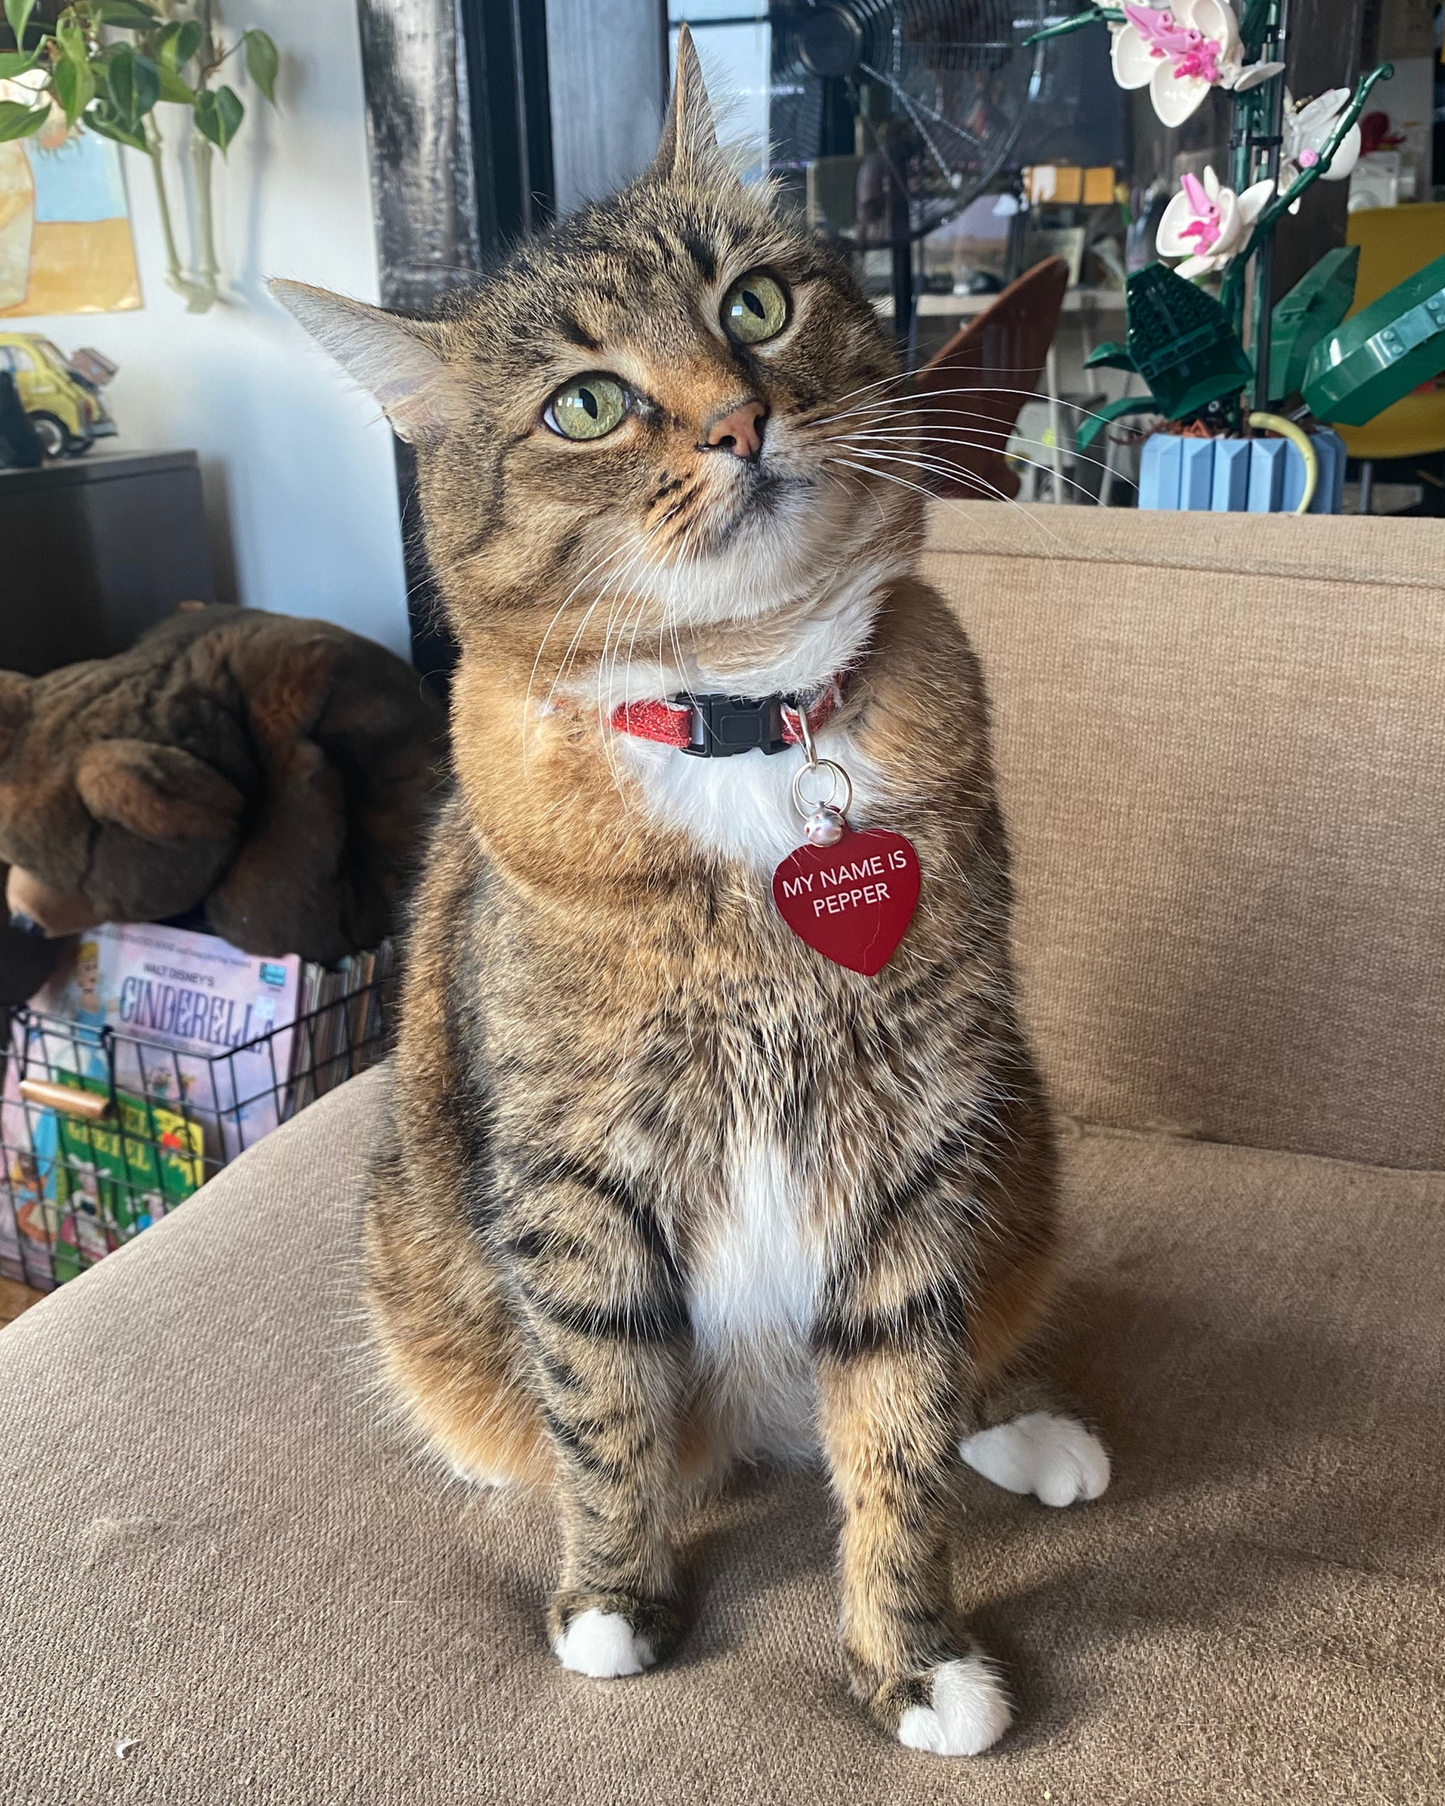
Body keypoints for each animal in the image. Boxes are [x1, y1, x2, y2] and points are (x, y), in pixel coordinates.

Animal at [276, 24, 1112, 1748]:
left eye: (755, 305)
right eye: (587, 402)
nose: (737, 420)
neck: (747, 717)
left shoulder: (915, 1137)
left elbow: (899, 1420)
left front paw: (913, 1651)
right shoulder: (577, 1166)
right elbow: (602, 1400)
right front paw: (613, 1590)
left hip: (1014, 1129)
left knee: (960, 1354)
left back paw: (1027, 1425)